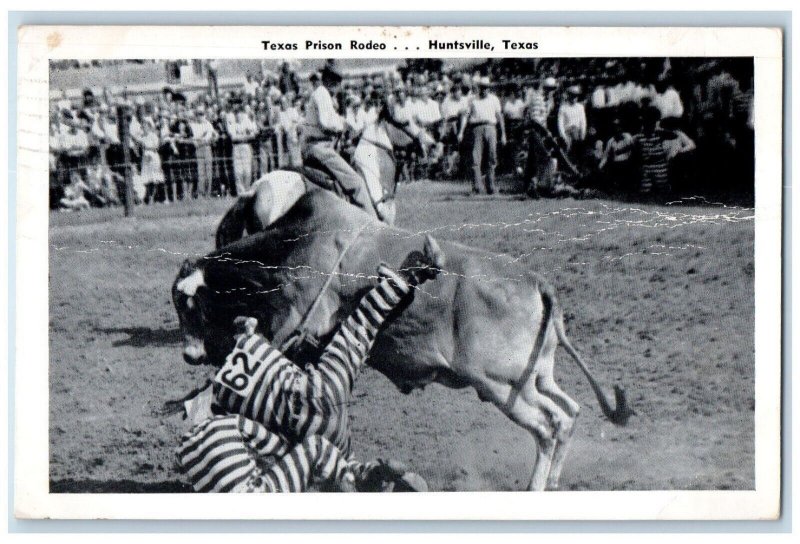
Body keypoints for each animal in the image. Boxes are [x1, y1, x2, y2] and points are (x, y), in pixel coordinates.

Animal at [173, 185, 632, 490]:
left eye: (191, 304)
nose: (190, 355)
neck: (292, 248)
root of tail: (537, 282)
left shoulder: (295, 330)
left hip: (502, 387)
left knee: (548, 426)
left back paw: (536, 486)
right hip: (534, 378)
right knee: (568, 412)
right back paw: (552, 481)